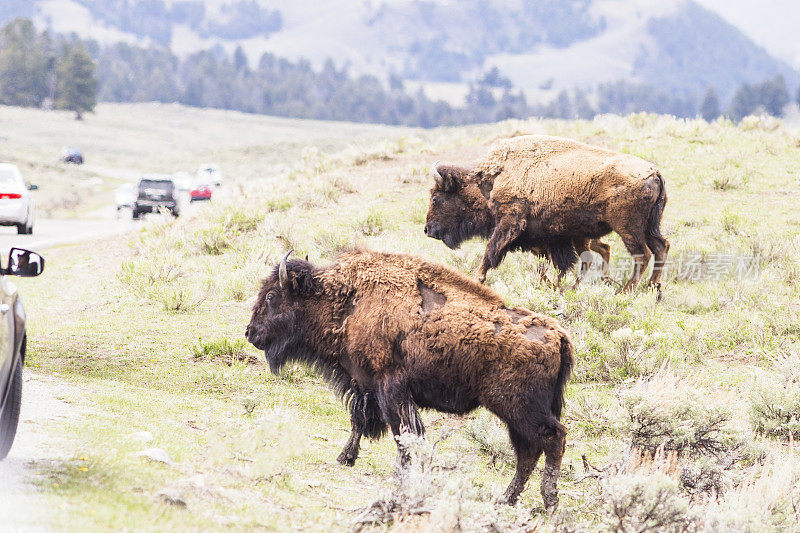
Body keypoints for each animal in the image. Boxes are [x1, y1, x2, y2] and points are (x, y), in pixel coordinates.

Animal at [245, 249, 576, 512]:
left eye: (272, 296)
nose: (250, 332)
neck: (349, 301)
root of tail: (559, 336)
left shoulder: (390, 388)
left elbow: (402, 433)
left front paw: (400, 476)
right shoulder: (365, 385)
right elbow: (360, 421)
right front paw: (346, 458)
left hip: (518, 408)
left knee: (552, 439)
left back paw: (548, 502)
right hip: (517, 415)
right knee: (528, 452)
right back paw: (505, 499)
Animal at [424, 133, 668, 290]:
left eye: (436, 199)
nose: (427, 229)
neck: (491, 180)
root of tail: (654, 172)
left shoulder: (510, 223)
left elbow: (491, 251)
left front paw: (477, 279)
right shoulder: (551, 238)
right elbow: (557, 264)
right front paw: (554, 285)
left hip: (628, 227)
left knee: (642, 254)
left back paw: (627, 290)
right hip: (648, 227)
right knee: (660, 247)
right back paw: (652, 289)